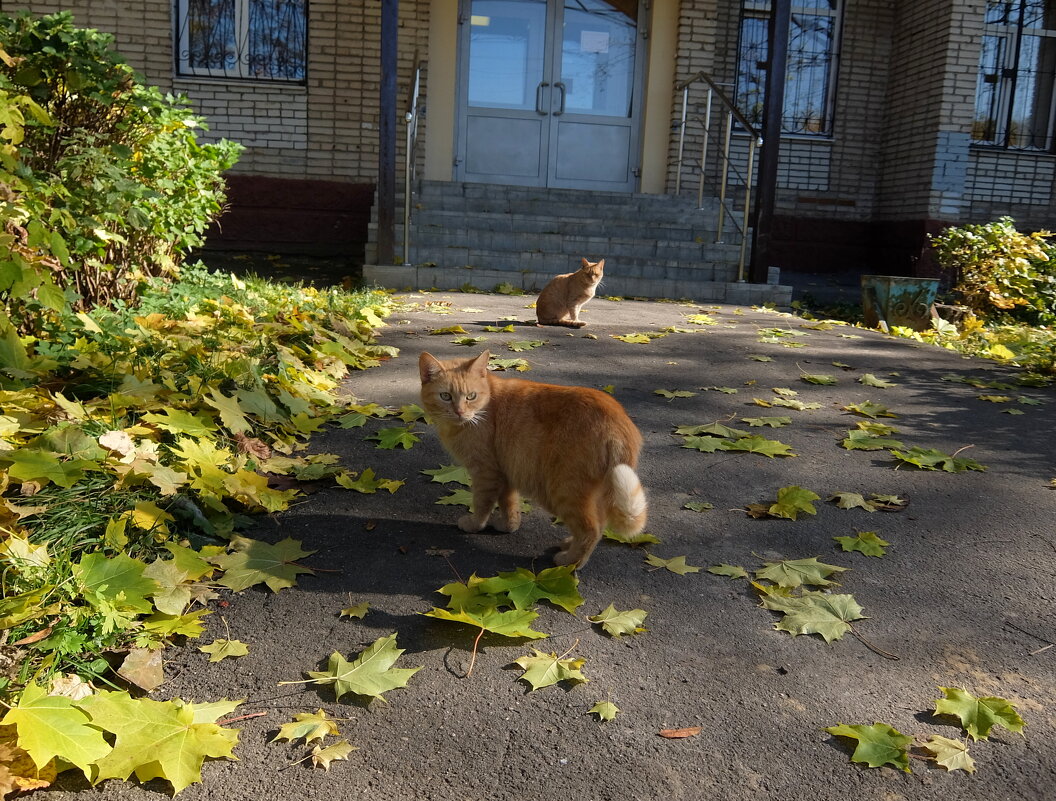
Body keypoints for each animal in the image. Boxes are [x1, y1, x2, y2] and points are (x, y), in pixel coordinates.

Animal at [418, 350, 646, 569]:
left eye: (471, 396)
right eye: (446, 396)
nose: (459, 412)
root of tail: (620, 421)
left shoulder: (485, 472)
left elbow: (482, 503)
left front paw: (474, 524)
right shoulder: (505, 470)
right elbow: (509, 503)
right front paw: (508, 526)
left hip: (562, 490)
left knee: (591, 529)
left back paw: (570, 562)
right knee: (599, 522)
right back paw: (569, 544)